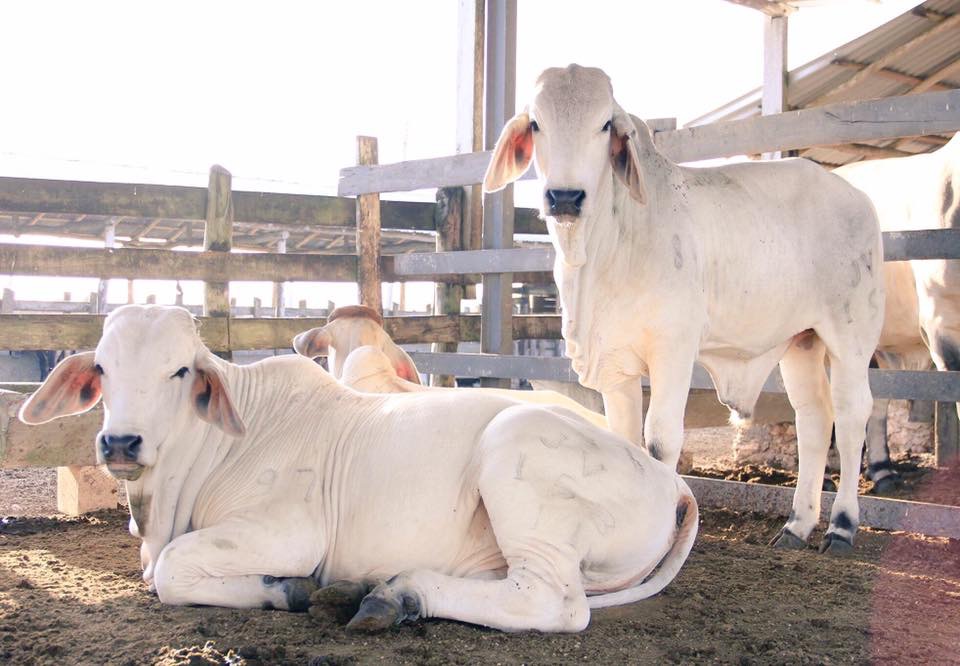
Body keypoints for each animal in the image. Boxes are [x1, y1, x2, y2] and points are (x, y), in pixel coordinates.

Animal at [484, 63, 880, 548]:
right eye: (537, 123)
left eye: (604, 124)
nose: (564, 197)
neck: (602, 253)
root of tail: (855, 196)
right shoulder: (614, 363)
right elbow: (625, 442)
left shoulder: (672, 349)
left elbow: (660, 441)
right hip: (800, 341)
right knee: (814, 420)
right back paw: (797, 525)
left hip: (851, 335)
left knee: (851, 414)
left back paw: (842, 526)